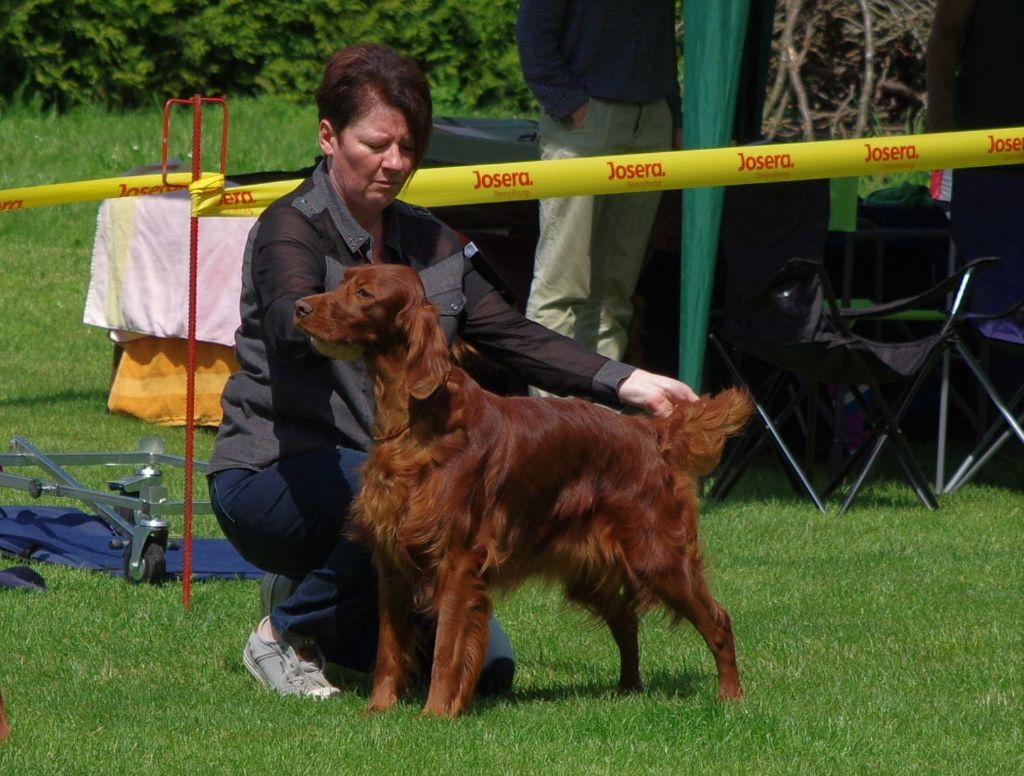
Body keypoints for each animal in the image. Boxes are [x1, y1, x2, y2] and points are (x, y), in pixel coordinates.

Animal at [294, 262, 753, 716]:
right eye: (342, 281)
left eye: (364, 293)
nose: (300, 307)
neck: (417, 419)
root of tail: (650, 432)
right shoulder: (391, 560)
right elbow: (389, 648)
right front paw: (379, 709)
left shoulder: (457, 561)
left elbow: (445, 650)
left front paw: (435, 713)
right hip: (589, 566)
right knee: (626, 618)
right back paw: (628, 689)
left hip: (656, 555)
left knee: (718, 620)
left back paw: (730, 696)